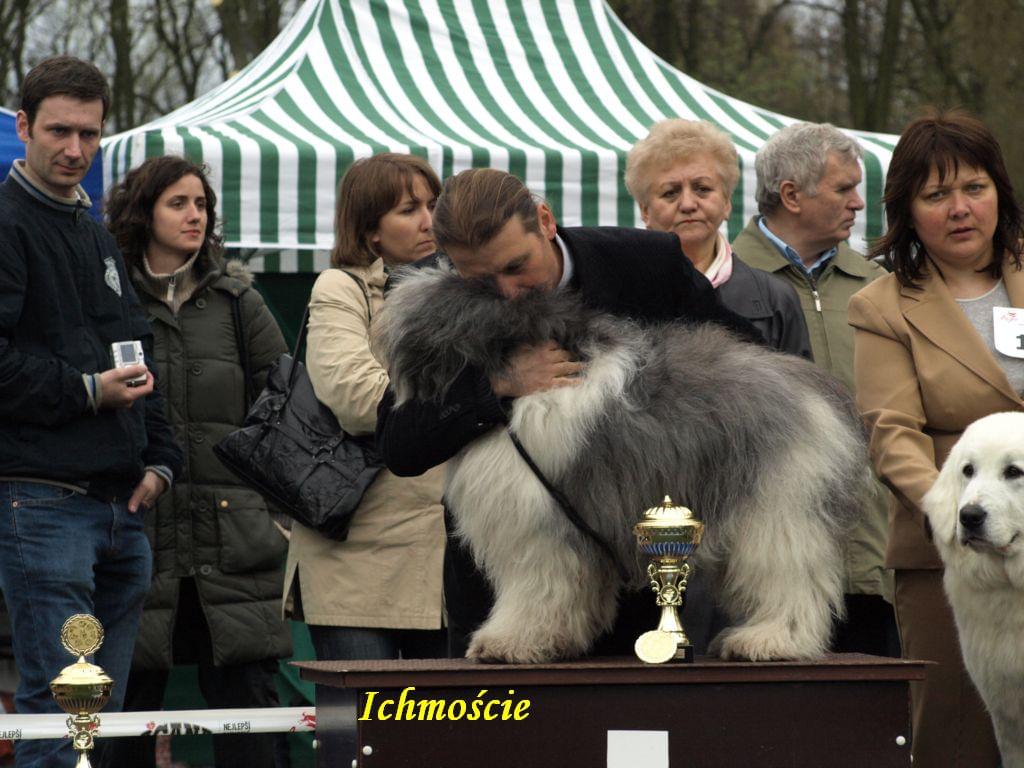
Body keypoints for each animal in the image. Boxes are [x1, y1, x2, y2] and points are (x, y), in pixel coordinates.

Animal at [374, 265, 870, 664]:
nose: (390, 284)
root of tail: (818, 390)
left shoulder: (539, 527)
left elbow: (535, 588)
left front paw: (510, 642)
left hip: (778, 505)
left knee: (789, 576)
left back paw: (770, 641)